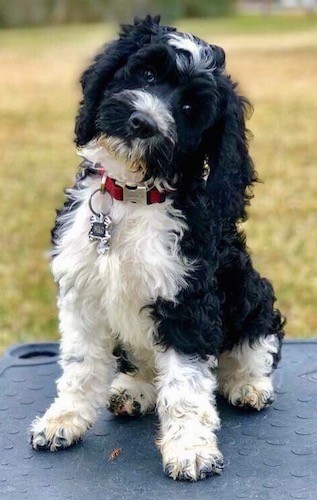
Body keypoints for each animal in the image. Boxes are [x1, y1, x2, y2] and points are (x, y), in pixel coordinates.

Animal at [29, 16, 284, 480]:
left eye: (189, 111)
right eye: (146, 73)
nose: (142, 123)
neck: (132, 198)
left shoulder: (188, 303)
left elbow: (185, 384)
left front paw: (190, 449)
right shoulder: (82, 292)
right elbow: (80, 365)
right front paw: (63, 420)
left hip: (253, 293)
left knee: (255, 346)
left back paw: (248, 384)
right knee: (141, 366)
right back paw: (134, 389)